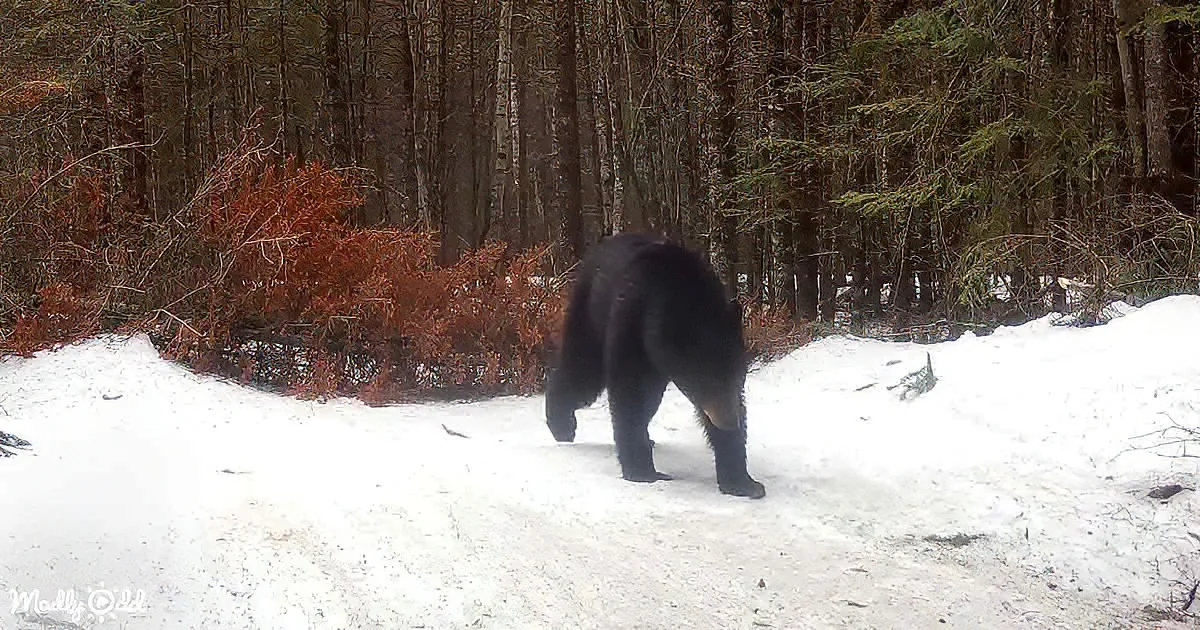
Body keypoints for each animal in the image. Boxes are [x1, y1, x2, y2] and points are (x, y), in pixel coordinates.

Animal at [544, 232, 766, 499]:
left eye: (738, 376)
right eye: (708, 381)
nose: (729, 421)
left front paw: (743, 481)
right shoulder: (631, 324)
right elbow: (631, 393)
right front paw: (642, 470)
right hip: (590, 312)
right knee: (583, 371)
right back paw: (562, 425)